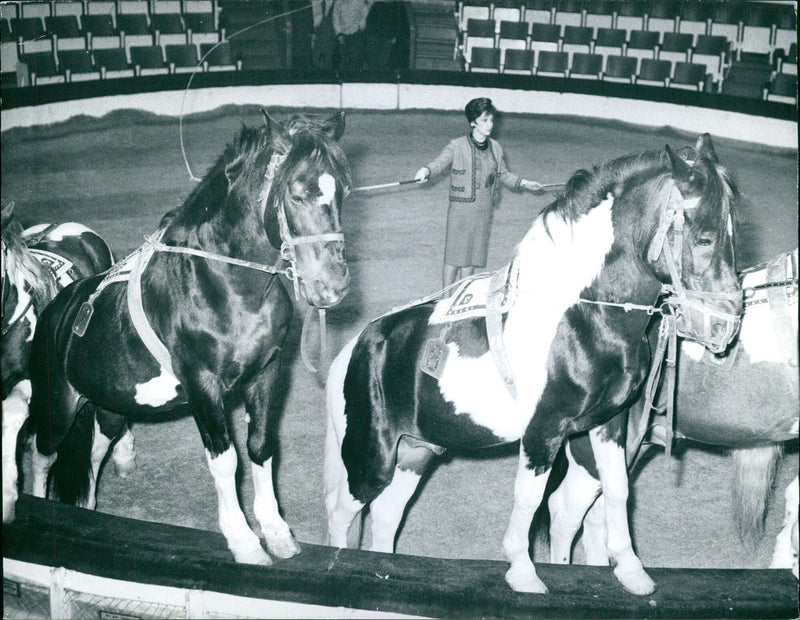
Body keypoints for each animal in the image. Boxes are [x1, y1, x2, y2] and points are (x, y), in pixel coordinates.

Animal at [324, 136, 744, 596]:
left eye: (732, 234)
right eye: (703, 238)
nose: (725, 325)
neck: (582, 316)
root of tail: (354, 349)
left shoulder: (610, 423)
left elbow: (617, 490)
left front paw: (632, 570)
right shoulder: (544, 430)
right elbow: (530, 497)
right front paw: (522, 572)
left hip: (415, 452)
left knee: (386, 513)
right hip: (371, 457)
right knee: (341, 510)